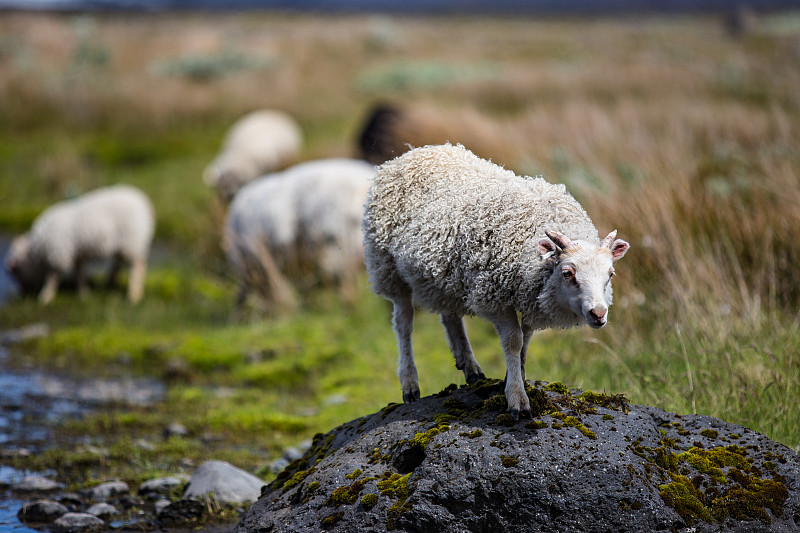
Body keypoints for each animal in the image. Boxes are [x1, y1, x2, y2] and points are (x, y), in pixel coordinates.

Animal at [5, 185, 156, 306]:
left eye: (17, 272)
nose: (23, 294)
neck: (37, 250)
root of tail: (145, 204)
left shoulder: (59, 254)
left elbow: (53, 278)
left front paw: (45, 297)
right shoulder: (77, 255)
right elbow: (79, 274)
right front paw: (84, 294)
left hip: (131, 242)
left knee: (137, 266)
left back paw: (134, 295)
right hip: (123, 245)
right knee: (118, 264)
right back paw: (109, 283)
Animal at [362, 143, 632, 418]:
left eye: (610, 274)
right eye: (568, 273)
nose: (599, 314)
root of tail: (416, 151)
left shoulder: (529, 297)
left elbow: (526, 341)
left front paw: (516, 376)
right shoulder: (494, 298)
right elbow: (513, 342)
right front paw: (517, 398)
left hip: (444, 274)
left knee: (449, 315)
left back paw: (469, 366)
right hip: (386, 266)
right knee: (403, 322)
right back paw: (410, 383)